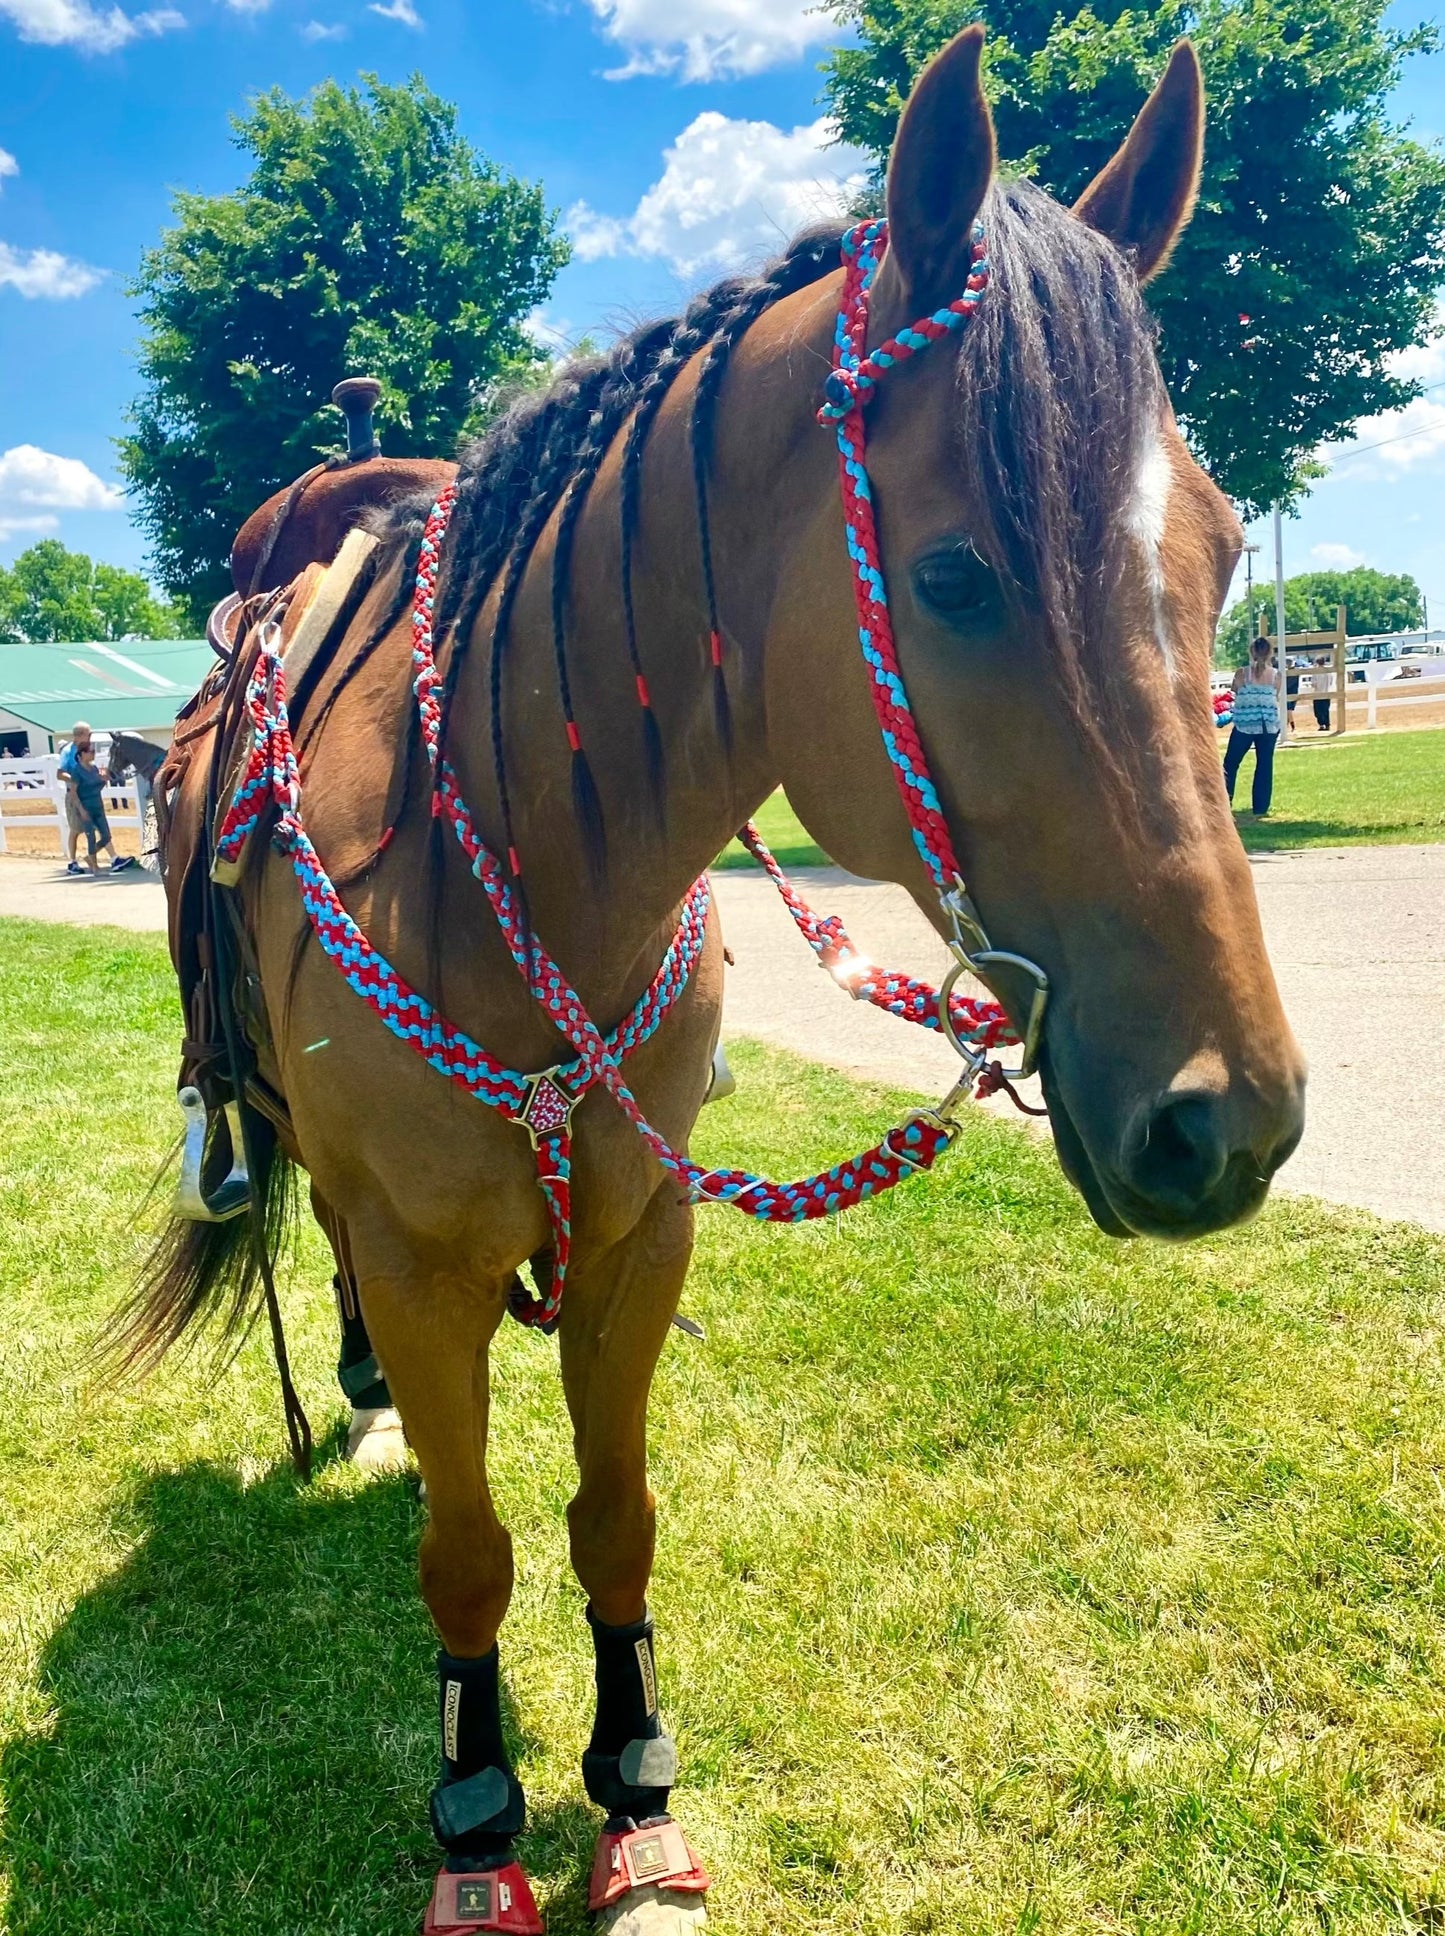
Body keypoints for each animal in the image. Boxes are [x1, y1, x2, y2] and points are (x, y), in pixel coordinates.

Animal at [115, 30, 1309, 1936]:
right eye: (956, 576)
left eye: (1209, 554)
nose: (1232, 1120)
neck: (511, 866)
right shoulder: (430, 1259)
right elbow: (471, 1557)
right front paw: (477, 1820)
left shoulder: (639, 1236)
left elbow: (615, 1520)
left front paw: (637, 1802)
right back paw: (365, 1407)